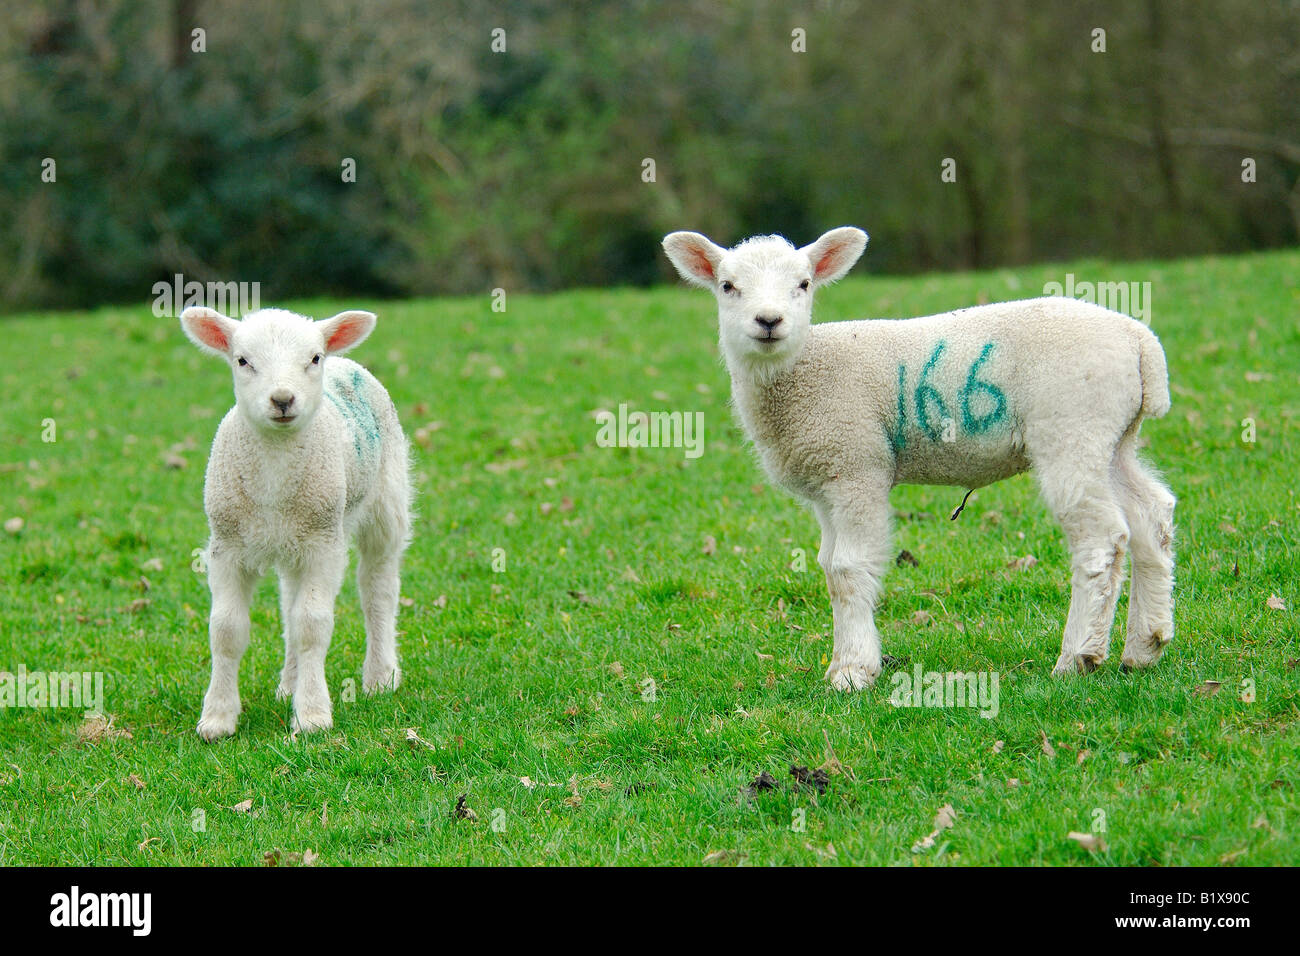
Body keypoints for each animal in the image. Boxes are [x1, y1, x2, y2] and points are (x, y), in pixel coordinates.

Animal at [179, 306, 412, 738]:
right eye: (242, 360)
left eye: (313, 358)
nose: (283, 399)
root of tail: (347, 362)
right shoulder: (225, 545)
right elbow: (226, 630)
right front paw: (217, 718)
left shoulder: (323, 545)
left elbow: (312, 625)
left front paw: (313, 715)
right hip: (293, 539)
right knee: (289, 602)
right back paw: (289, 683)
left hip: (385, 504)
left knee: (378, 589)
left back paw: (379, 677)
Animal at [662, 228, 1176, 690]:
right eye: (728, 286)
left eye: (804, 284)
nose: (769, 321)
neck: (805, 370)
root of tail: (1138, 339)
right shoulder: (828, 480)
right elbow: (828, 568)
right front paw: (843, 662)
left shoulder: (857, 465)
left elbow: (849, 569)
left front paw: (853, 672)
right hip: (1113, 437)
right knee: (1151, 515)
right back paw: (1145, 645)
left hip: (1072, 427)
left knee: (1101, 538)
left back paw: (1078, 657)